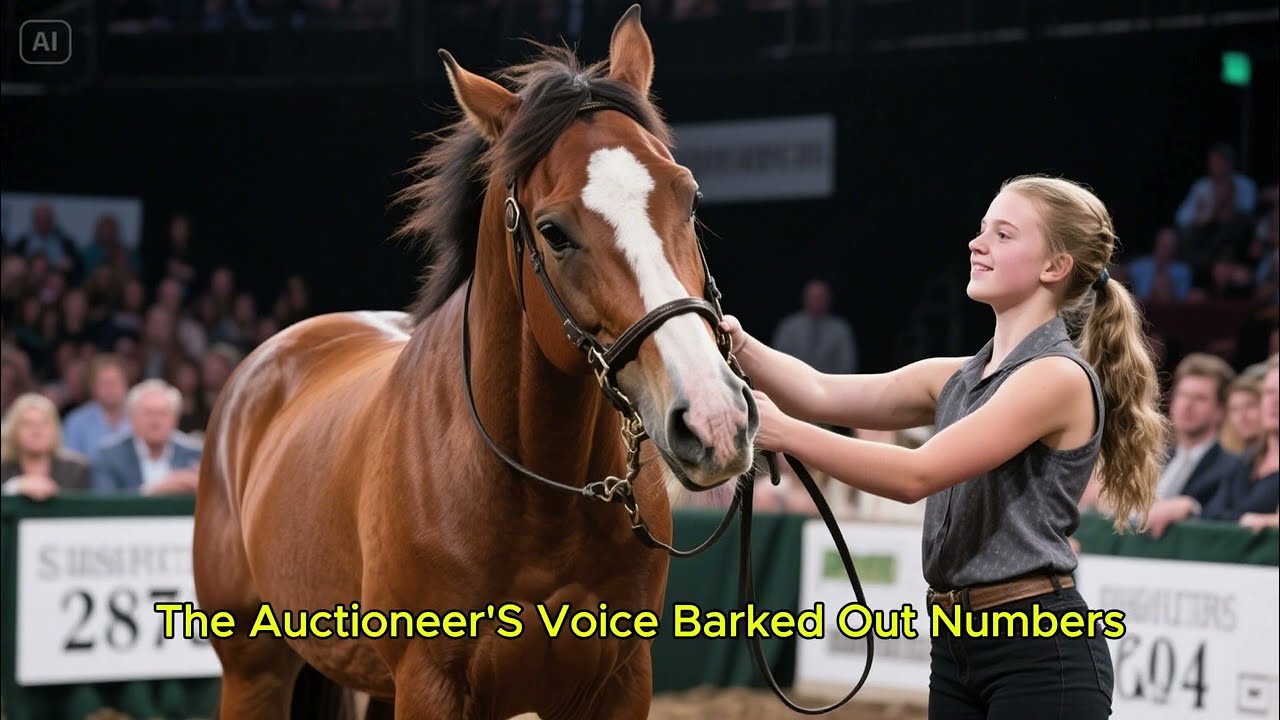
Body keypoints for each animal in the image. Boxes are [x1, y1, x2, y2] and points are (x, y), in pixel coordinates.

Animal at [192, 6, 760, 718]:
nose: (714, 422)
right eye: (553, 232)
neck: (539, 494)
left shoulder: (619, 684)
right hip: (256, 672)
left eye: (689, 197)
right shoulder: (430, 686)